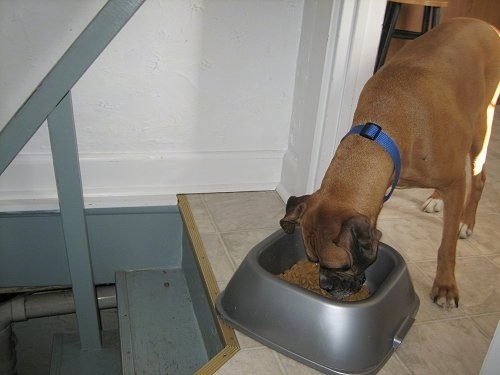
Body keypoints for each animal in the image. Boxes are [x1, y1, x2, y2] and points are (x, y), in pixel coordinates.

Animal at [280, 18, 500, 308]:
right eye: (313, 260)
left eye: (341, 266)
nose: (324, 285)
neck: (384, 126)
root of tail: (484, 23)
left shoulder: (455, 183)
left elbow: (447, 246)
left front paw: (445, 285)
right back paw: (436, 198)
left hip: (480, 133)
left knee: (479, 178)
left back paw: (467, 223)